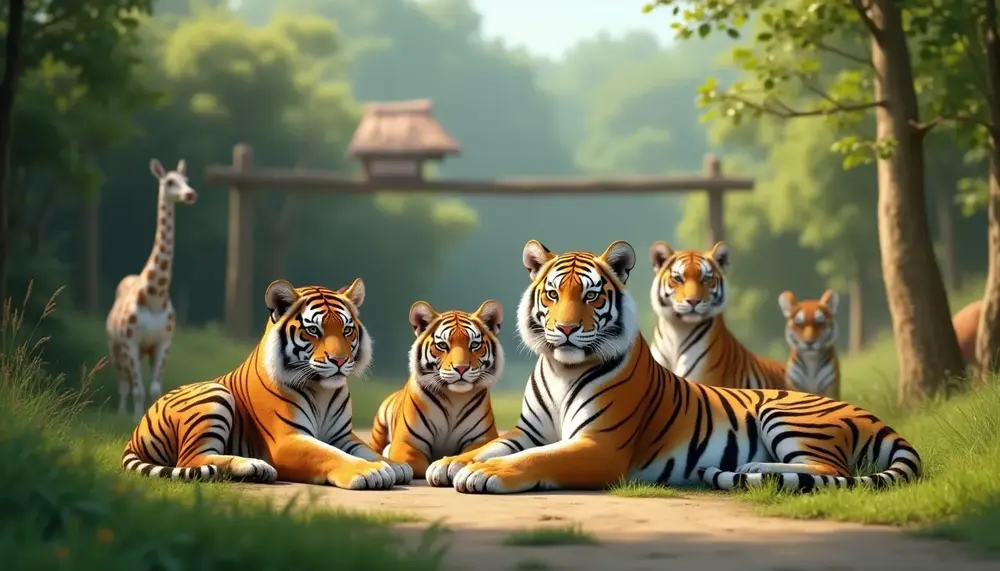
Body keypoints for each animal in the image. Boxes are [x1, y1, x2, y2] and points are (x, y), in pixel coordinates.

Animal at [121, 278, 414, 489]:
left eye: (347, 330)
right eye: (314, 330)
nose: (340, 360)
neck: (321, 389)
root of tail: (133, 434)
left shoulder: (342, 435)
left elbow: (366, 450)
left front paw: (393, 464)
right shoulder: (287, 439)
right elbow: (330, 454)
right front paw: (370, 471)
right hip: (214, 395)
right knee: (191, 458)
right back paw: (254, 465)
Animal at [370, 300, 504, 478]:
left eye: (475, 345)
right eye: (442, 345)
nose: (461, 368)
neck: (454, 398)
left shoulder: (482, 439)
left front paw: (447, 466)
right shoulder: (407, 443)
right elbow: (418, 465)